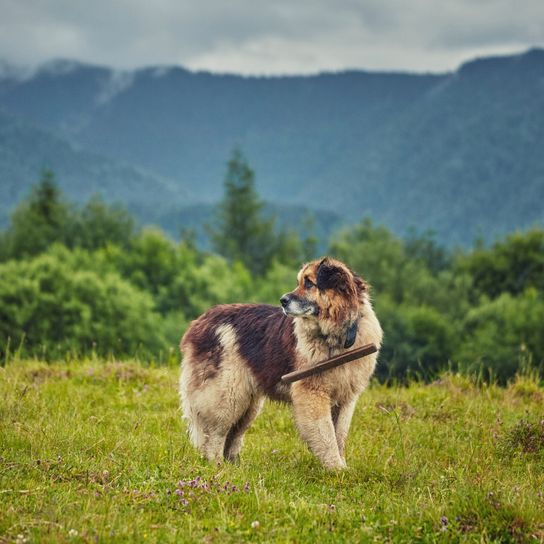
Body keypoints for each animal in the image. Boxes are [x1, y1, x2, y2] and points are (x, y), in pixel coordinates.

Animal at [178, 258, 382, 470]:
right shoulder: (313, 394)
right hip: (226, 395)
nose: (282, 300)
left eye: (309, 283)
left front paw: (342, 467)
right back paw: (217, 466)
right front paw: (336, 469)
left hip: (249, 403)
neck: (336, 336)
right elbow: (326, 435)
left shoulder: (346, 398)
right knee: (215, 434)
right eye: (301, 282)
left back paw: (236, 467)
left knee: (233, 434)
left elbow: (339, 435)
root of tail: (199, 322)